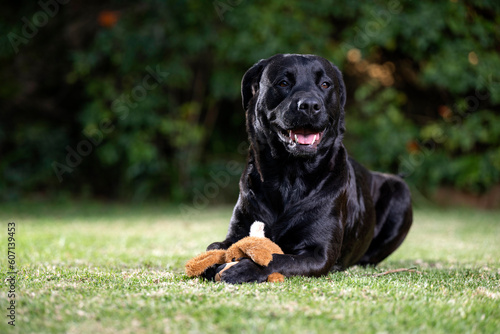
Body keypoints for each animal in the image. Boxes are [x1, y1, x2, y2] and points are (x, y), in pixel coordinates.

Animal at [205, 53, 412, 284]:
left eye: (325, 84)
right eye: (283, 83)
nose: (310, 105)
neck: (290, 176)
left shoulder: (319, 252)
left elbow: (277, 258)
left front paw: (240, 269)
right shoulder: (238, 230)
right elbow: (214, 247)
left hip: (401, 191)